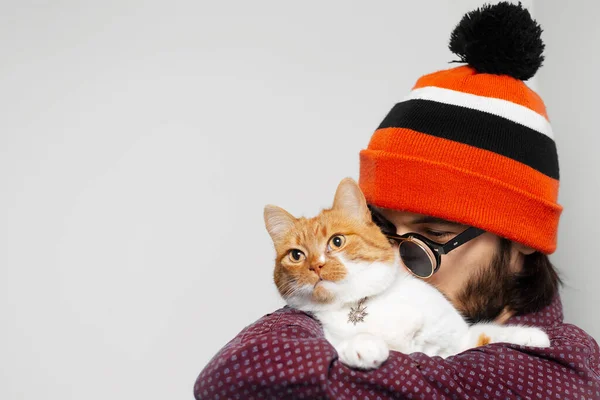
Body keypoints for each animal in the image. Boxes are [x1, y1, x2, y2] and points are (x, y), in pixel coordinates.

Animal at [262, 177, 548, 370]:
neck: (361, 302)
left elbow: (482, 333)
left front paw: (530, 335)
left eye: (337, 241)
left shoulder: (456, 342)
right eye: (296, 255)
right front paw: (362, 344)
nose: (316, 266)